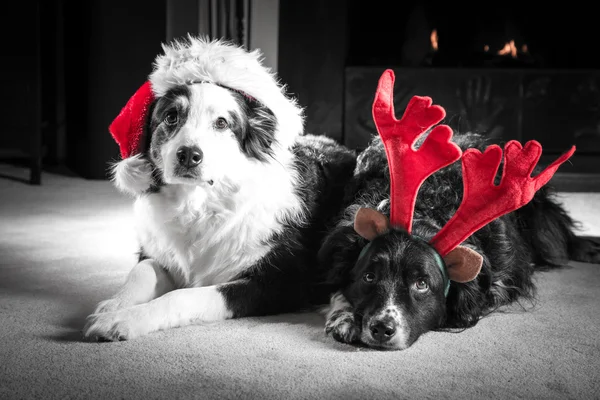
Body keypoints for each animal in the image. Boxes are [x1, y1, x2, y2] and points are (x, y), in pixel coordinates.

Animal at [84, 36, 356, 340]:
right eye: (170, 117)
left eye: (222, 123)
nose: (189, 155)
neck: (199, 204)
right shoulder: (156, 251)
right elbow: (142, 270)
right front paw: (114, 305)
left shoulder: (281, 282)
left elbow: (183, 297)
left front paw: (125, 319)